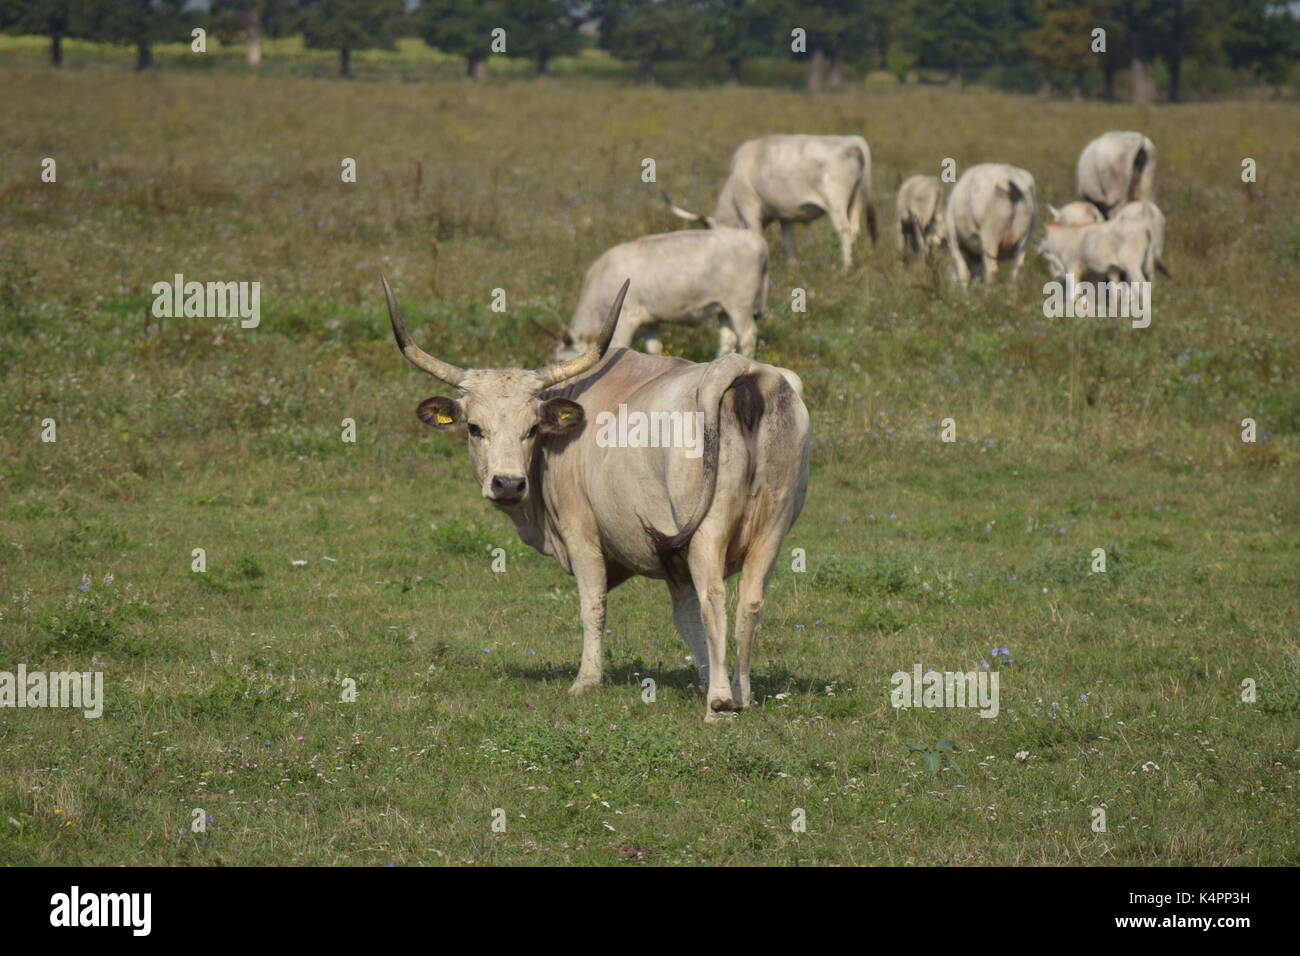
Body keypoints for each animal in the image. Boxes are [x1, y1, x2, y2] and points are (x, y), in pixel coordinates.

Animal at [384, 273, 806, 723]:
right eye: (474, 427)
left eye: (532, 428)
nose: (508, 484)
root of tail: (740, 367)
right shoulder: (672, 562)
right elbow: (686, 618)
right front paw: (708, 677)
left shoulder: (581, 532)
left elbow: (594, 605)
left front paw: (586, 682)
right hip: (772, 527)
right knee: (750, 602)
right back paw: (742, 694)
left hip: (706, 532)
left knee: (716, 599)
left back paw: (721, 704)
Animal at [551, 227, 769, 361]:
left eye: (561, 359)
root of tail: (758, 241)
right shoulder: (651, 322)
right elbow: (654, 348)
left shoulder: (626, 318)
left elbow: (619, 345)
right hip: (723, 308)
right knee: (727, 339)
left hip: (740, 305)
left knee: (748, 336)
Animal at [665, 132, 878, 270]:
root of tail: (852, 141)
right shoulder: (787, 216)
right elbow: (788, 244)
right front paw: (792, 269)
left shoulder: (750, 209)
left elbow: (758, 238)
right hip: (855, 202)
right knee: (854, 230)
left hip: (836, 205)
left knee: (844, 232)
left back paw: (845, 268)